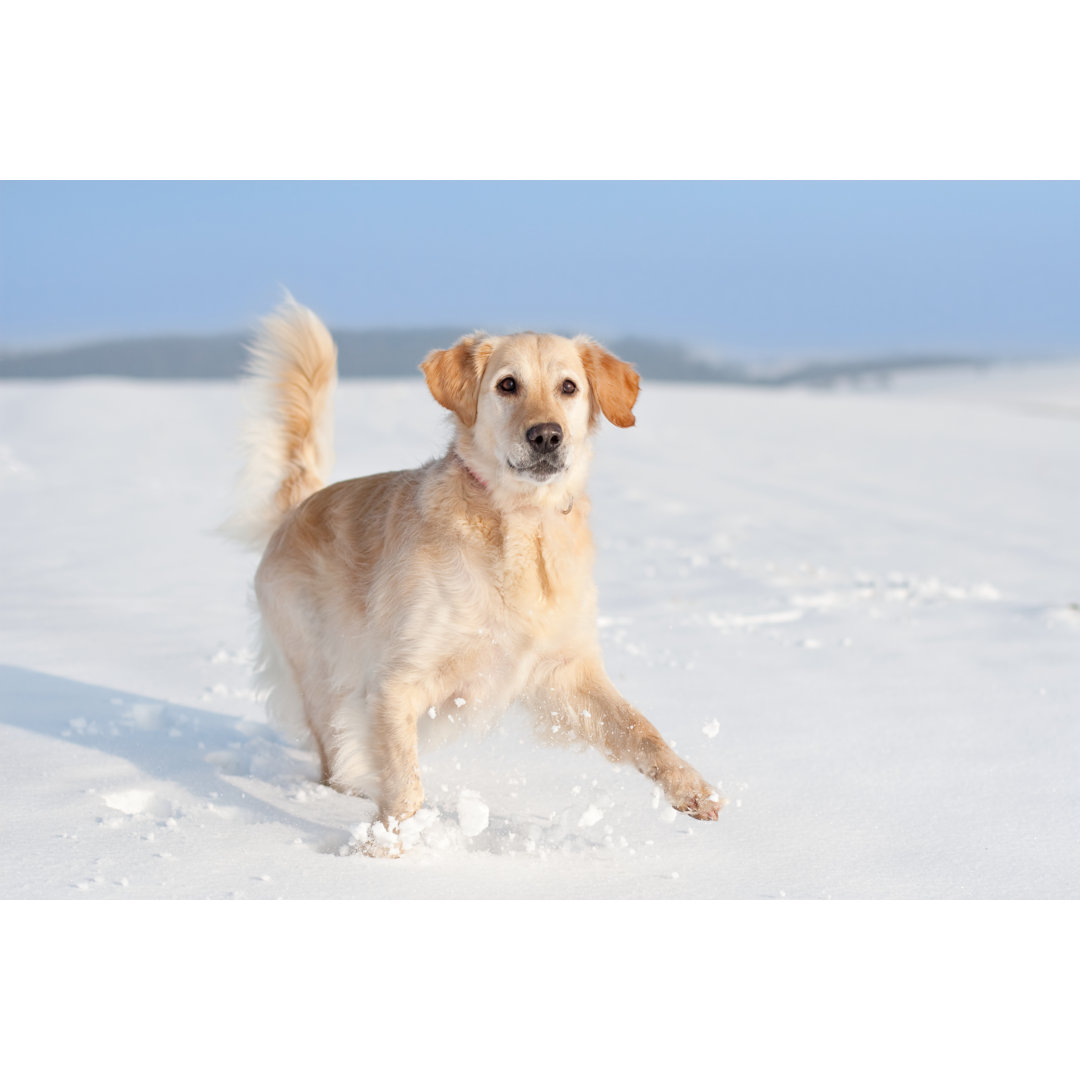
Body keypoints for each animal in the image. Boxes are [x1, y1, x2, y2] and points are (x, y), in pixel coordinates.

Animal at [223, 300, 721, 855]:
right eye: (507, 385)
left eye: (569, 387)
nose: (546, 436)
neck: (521, 521)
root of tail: (299, 507)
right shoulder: (396, 683)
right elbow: (406, 786)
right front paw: (381, 849)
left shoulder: (564, 671)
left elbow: (640, 729)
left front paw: (691, 789)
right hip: (322, 673)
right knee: (336, 760)